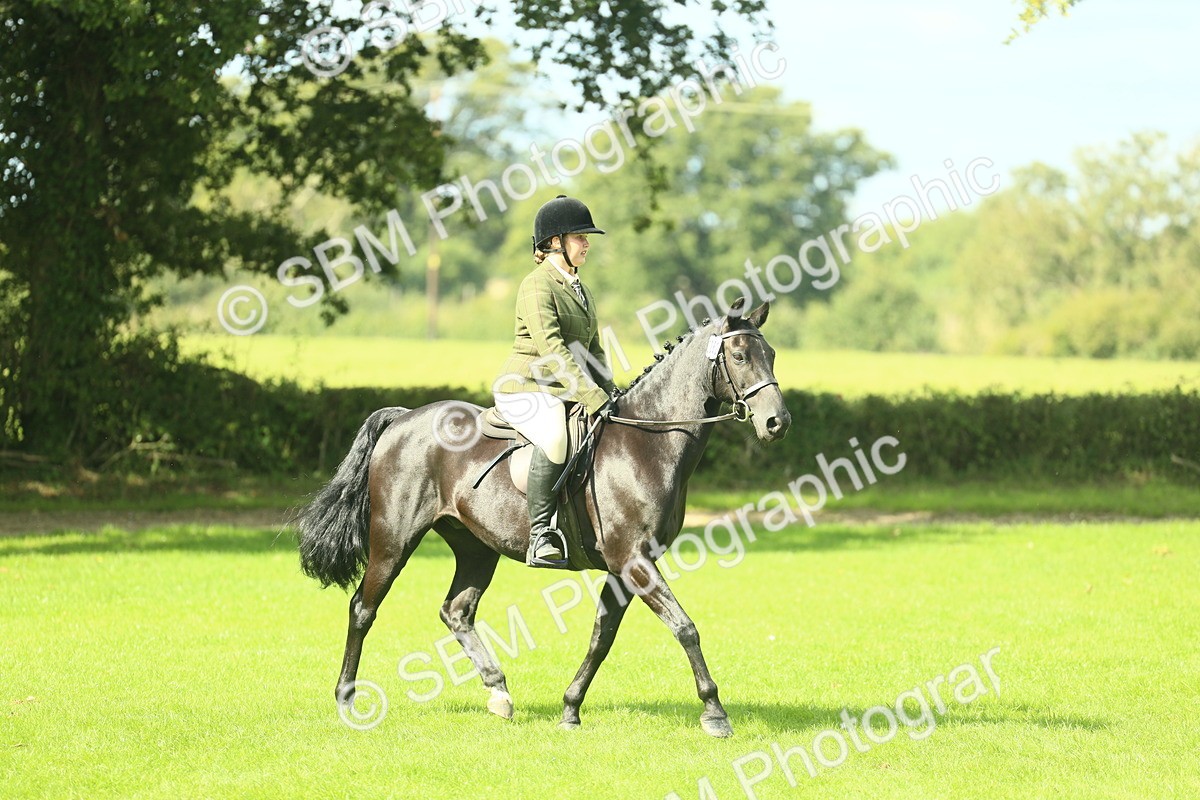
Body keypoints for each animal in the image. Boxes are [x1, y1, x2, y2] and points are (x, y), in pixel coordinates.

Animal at [295, 297, 791, 737]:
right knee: (363, 608)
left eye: (770, 355)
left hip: (476, 548)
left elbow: (602, 636)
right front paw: (715, 713)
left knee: (456, 611)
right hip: (394, 540)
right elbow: (685, 628)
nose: (777, 423)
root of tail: (402, 420)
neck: (648, 442)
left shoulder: (625, 566)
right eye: (740, 356)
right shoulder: (633, 560)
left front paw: (570, 709)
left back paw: (499, 693)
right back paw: (347, 699)